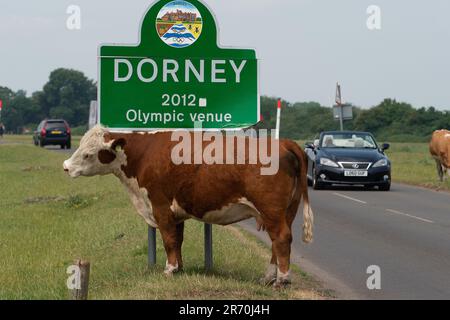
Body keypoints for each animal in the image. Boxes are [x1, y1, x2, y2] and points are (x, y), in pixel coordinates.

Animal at [63, 124, 312, 284]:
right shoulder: (176, 212)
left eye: (88, 154)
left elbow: (168, 240)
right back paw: (269, 277)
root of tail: (284, 143)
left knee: (281, 238)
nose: (66, 166)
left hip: (271, 210)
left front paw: (169, 269)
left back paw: (282, 279)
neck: (142, 154)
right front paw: (179, 268)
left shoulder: (160, 206)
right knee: (277, 242)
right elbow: (178, 239)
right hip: (287, 211)